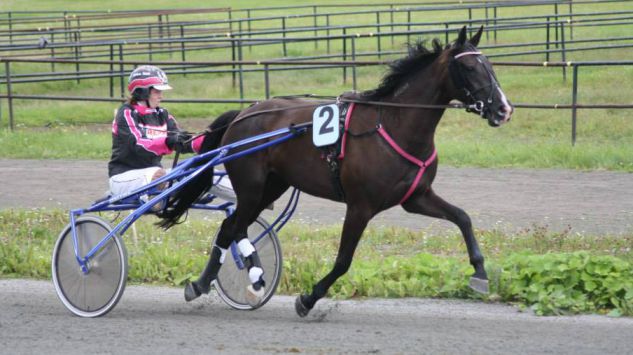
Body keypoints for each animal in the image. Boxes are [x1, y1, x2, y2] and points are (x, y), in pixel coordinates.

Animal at [158, 26, 512, 318]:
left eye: (490, 65)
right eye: (469, 68)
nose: (503, 109)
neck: (394, 125)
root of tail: (244, 113)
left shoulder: (417, 197)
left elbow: (463, 218)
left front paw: (480, 274)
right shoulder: (360, 207)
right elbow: (343, 260)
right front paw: (308, 299)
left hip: (272, 186)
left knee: (230, 228)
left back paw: (215, 282)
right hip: (251, 186)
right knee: (234, 227)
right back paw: (242, 280)